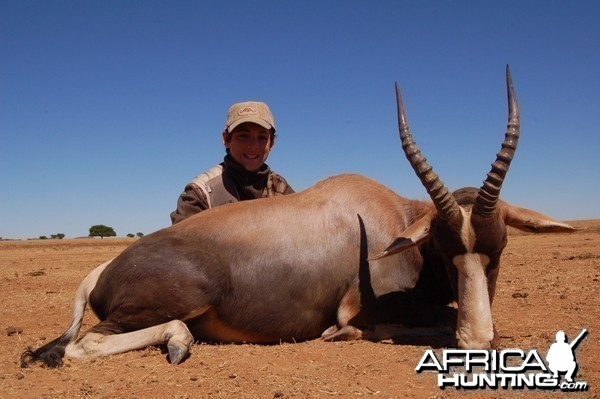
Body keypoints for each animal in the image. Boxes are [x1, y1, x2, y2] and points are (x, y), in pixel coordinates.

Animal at [21, 66, 580, 368]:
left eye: (499, 248)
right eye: (442, 249)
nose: (478, 342)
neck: (388, 216)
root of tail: (104, 270)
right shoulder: (358, 309)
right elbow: (414, 323)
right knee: (85, 344)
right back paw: (179, 343)